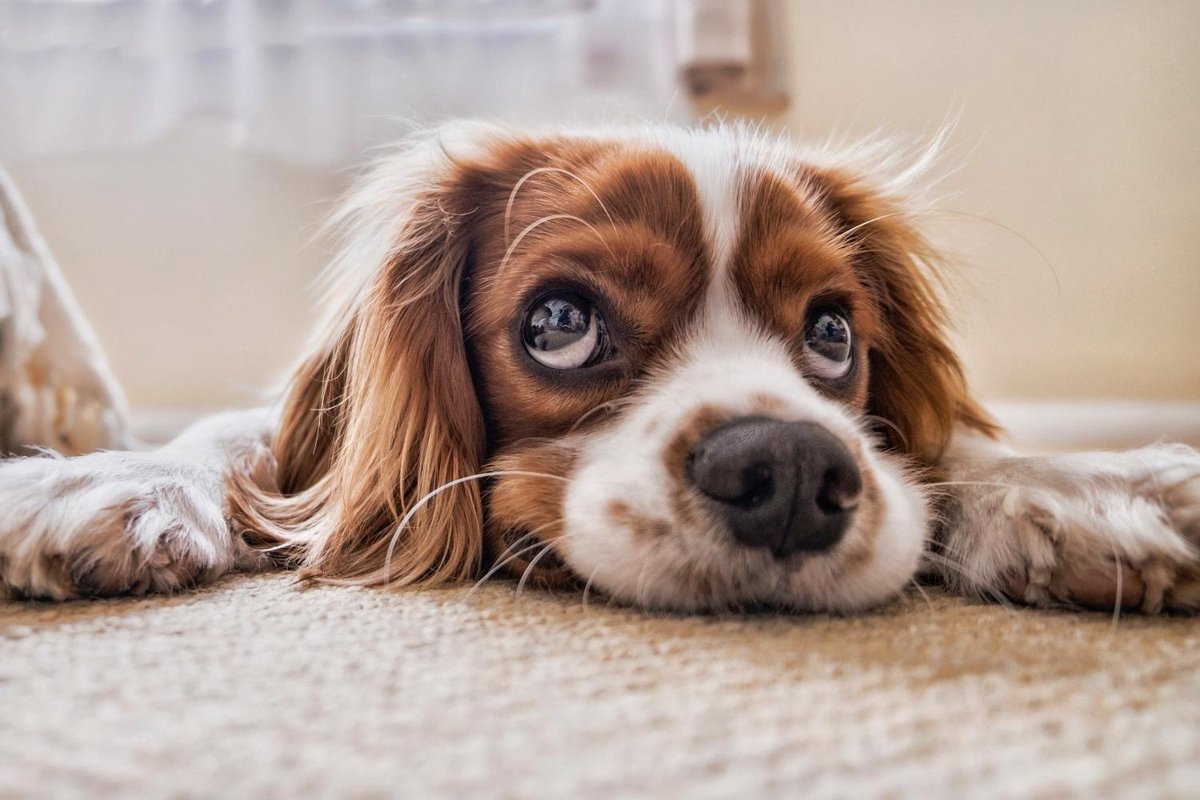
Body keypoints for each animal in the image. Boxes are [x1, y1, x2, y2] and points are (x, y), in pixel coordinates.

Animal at [2, 123, 1200, 614]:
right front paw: (104, 480)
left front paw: (1087, 487)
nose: (790, 471)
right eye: (560, 322)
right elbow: (237, 441)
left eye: (832, 334)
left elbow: (950, 449)